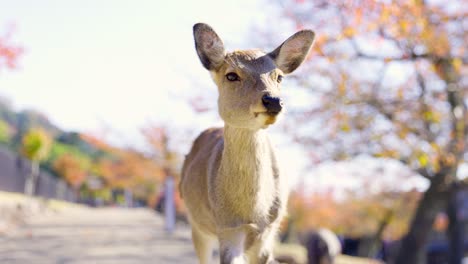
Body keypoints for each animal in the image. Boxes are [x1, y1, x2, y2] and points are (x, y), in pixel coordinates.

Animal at [181, 23, 316, 264]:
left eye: (279, 77)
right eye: (231, 75)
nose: (273, 101)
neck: (252, 214)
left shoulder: (269, 232)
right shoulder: (227, 229)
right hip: (197, 225)